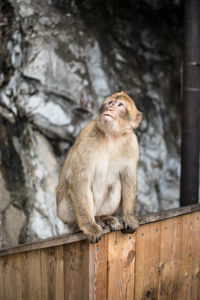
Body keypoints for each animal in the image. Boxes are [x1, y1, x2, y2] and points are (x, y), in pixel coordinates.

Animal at [56, 91, 142, 244]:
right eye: (110, 103)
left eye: (120, 105)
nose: (110, 109)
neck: (111, 136)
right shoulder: (87, 134)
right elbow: (79, 178)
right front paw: (89, 228)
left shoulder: (132, 142)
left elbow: (128, 178)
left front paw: (129, 217)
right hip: (64, 209)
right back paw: (86, 224)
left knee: (117, 184)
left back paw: (102, 217)